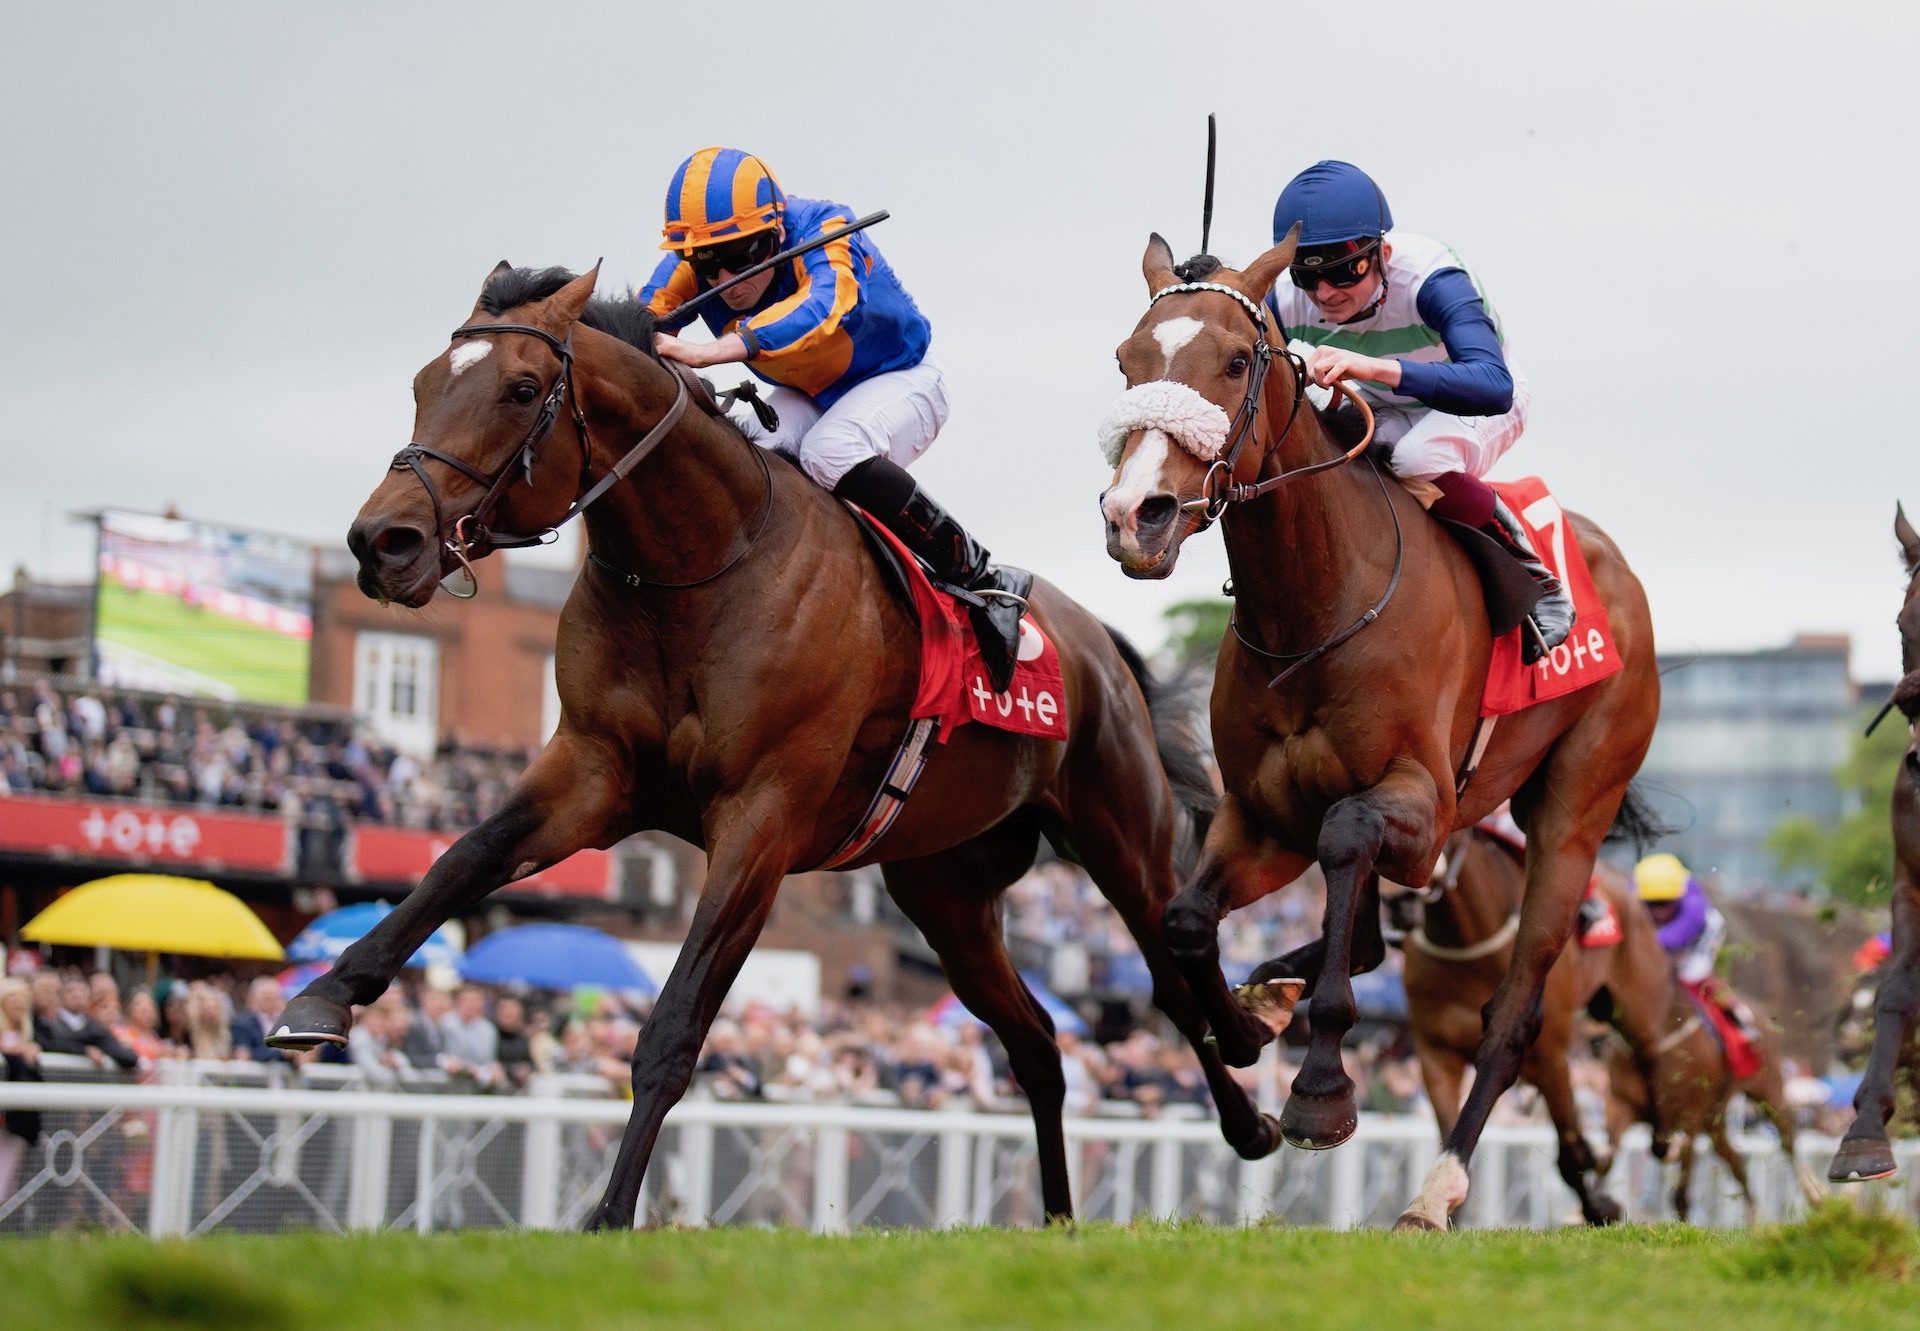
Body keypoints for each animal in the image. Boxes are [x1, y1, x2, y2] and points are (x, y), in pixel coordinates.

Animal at [274, 259, 1290, 1221]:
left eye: (522, 389)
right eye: (421, 381)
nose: (384, 541)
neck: (699, 566)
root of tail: (1102, 648)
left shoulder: (761, 817)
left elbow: (676, 1023)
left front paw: (608, 1214)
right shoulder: (594, 769)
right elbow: (461, 859)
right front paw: (322, 997)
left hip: (1117, 832)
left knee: (1171, 969)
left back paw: (1251, 1094)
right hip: (946, 890)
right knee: (1038, 1041)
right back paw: (1058, 1216)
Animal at [1390, 829, 1674, 1221]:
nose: (1398, 902)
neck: (1466, 944)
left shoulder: (1548, 1055)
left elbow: (1571, 1156)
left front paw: (1601, 1207)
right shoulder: (1436, 1055)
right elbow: (1450, 1132)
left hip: (1635, 1003)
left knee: (1650, 1052)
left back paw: (1663, 1138)